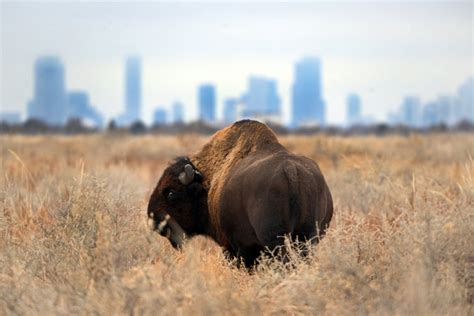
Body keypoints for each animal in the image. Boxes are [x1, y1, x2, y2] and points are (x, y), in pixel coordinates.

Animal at [148, 119, 334, 266]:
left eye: (171, 193)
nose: (153, 218)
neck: (207, 180)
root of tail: (291, 170)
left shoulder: (234, 247)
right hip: (307, 238)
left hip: (276, 240)